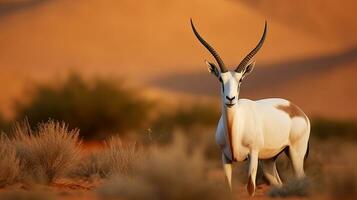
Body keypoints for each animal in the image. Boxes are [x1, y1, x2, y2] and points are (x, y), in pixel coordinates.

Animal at [191, 19, 310, 196]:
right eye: (220, 79)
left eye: (240, 80)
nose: (230, 99)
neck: (235, 129)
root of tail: (297, 110)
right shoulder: (225, 158)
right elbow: (228, 186)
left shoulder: (253, 155)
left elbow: (250, 188)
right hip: (268, 161)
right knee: (278, 183)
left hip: (295, 154)